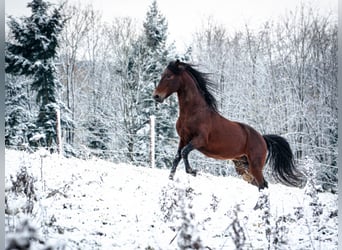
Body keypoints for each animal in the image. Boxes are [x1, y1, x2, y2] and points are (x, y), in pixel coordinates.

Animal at [152, 60, 304, 189]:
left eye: (169, 76)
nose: (156, 96)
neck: (194, 113)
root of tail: (263, 138)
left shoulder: (199, 140)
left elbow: (184, 152)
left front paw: (192, 171)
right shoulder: (183, 139)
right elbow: (176, 158)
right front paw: (170, 180)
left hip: (255, 165)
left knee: (262, 185)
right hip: (243, 167)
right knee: (261, 184)